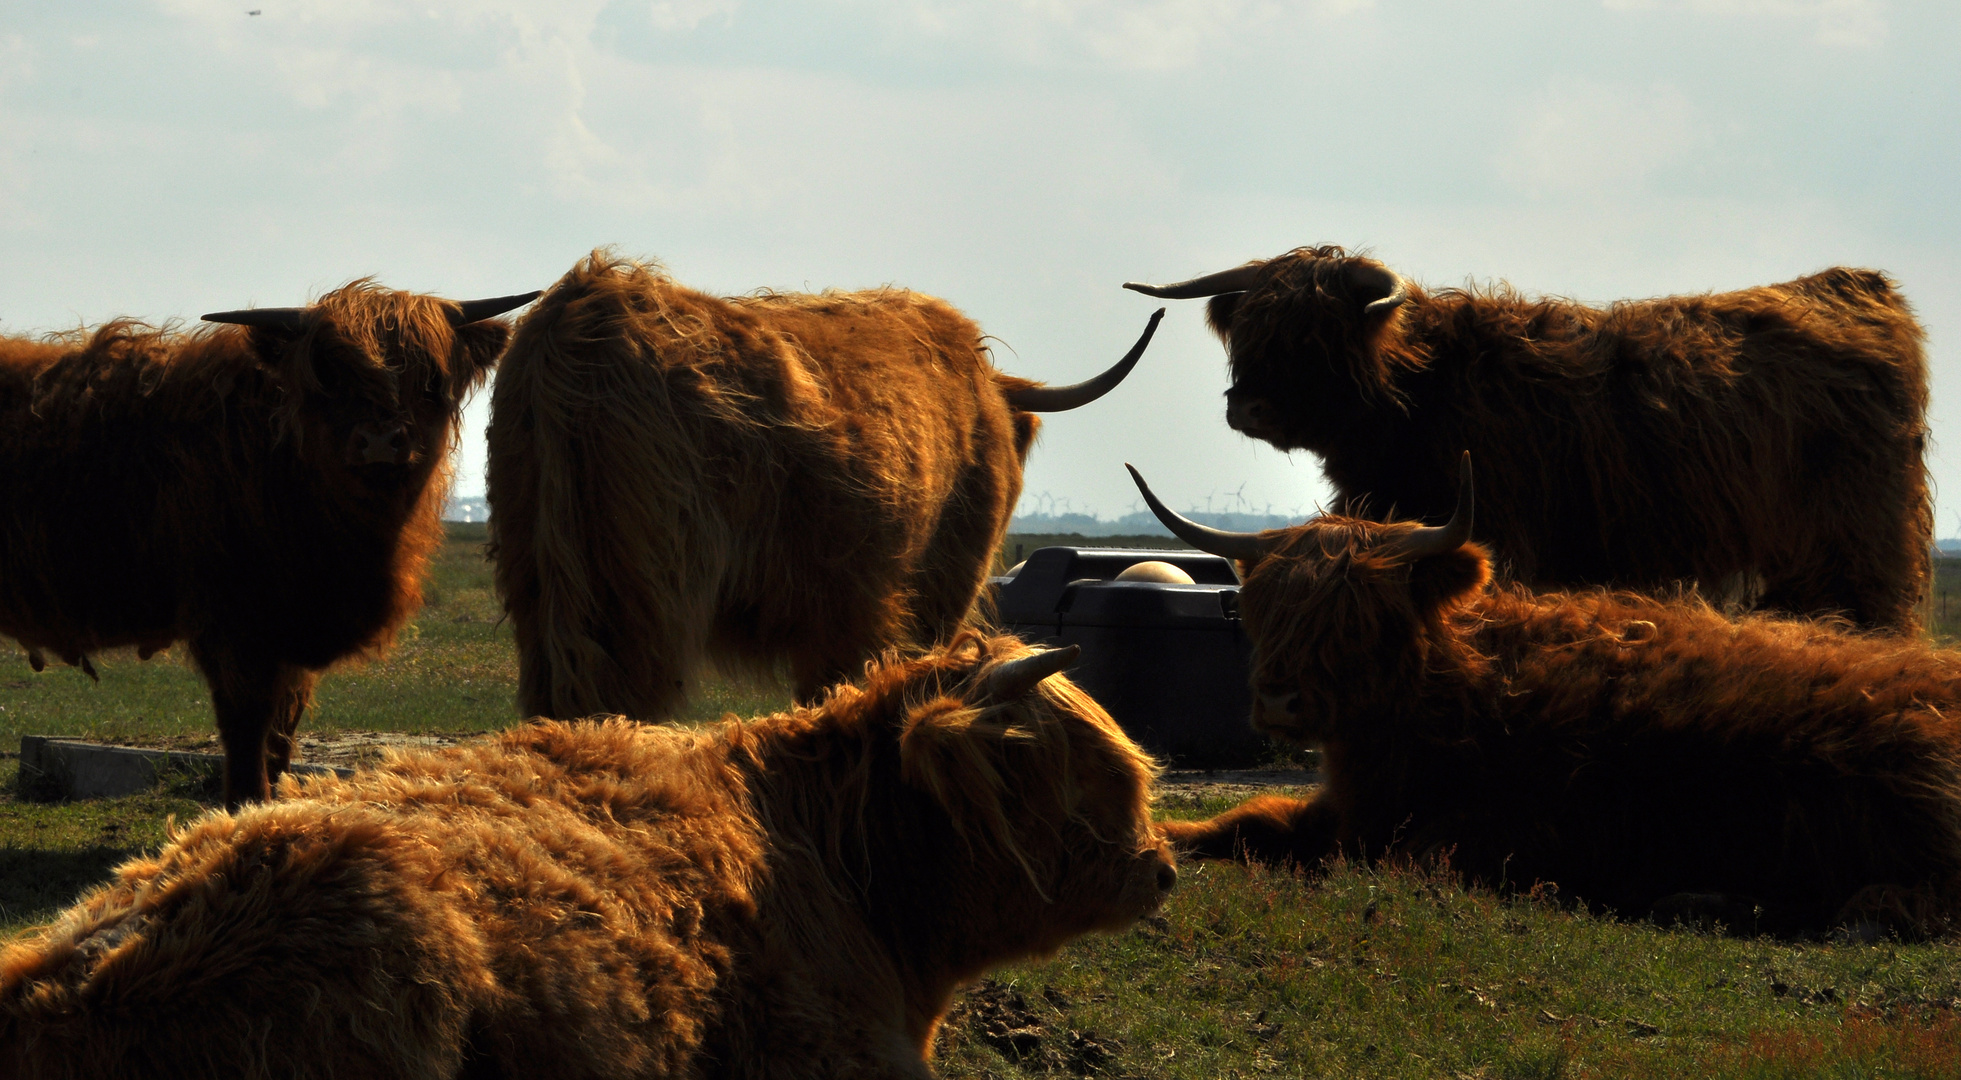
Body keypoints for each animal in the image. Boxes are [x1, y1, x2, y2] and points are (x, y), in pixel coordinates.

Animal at [0, 282, 537, 807]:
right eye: (329, 377)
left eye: (430, 380)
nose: (381, 441)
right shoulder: (235, 625)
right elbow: (246, 727)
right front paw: (245, 805)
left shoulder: (290, 628)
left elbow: (283, 728)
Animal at [1129, 245, 1937, 635]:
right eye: (1248, 330)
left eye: (1312, 335)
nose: (1248, 406)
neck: (1419, 395)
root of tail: (1855, 287)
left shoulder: (1494, 521)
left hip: (1852, 529)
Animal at [1129, 458, 1961, 936]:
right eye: (1265, 607)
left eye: (1357, 616)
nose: (1279, 701)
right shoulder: (1350, 804)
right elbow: (1245, 819)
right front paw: (1159, 837)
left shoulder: (1518, 828)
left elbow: (1397, 858)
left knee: (1898, 903)